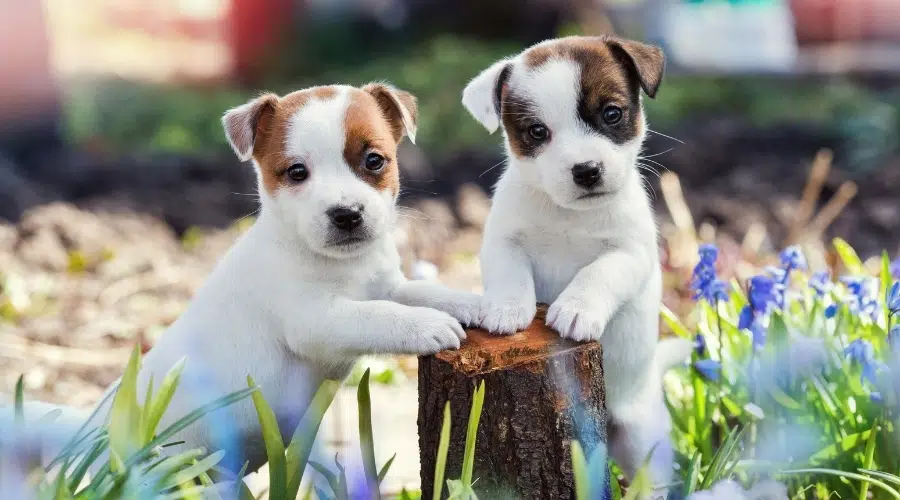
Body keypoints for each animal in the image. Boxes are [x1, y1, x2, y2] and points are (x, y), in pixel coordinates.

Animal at [3, 83, 482, 476]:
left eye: (374, 160)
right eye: (296, 172)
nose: (346, 214)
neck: (342, 263)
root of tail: (87, 431)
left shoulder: (388, 285)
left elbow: (422, 291)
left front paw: (475, 304)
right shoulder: (316, 319)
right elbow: (378, 314)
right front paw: (426, 326)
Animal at [464, 38, 688, 492]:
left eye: (612, 114)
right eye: (537, 132)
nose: (586, 170)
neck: (569, 213)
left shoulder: (630, 253)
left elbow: (597, 273)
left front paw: (576, 308)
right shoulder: (502, 242)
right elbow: (509, 273)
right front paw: (506, 309)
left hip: (641, 439)